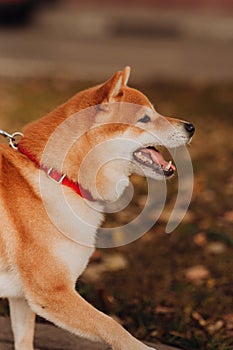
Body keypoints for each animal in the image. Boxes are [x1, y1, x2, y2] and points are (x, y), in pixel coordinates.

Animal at [0, 66, 195, 350]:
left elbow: (24, 341)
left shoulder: (22, 298)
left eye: (154, 112)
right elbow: (111, 325)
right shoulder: (51, 291)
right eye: (144, 118)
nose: (191, 127)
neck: (58, 175)